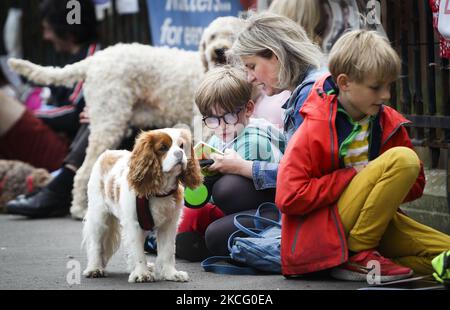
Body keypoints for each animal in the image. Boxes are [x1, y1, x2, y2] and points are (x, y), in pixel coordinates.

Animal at [8, 16, 244, 218]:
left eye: (232, 35)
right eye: (212, 36)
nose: (219, 50)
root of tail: (95, 59)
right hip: (109, 121)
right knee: (84, 171)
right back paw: (79, 209)